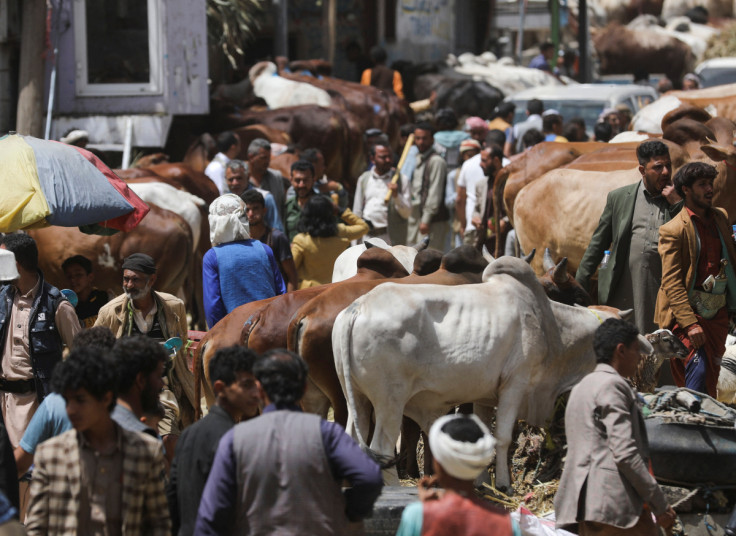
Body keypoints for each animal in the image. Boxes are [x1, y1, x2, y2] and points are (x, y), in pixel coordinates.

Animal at [332, 258, 616, 488]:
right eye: (578, 296)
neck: (550, 325)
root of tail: (358, 307)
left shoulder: (485, 396)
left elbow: (485, 435)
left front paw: (482, 483)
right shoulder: (516, 383)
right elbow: (502, 437)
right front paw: (503, 485)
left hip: (356, 397)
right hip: (389, 402)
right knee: (382, 448)